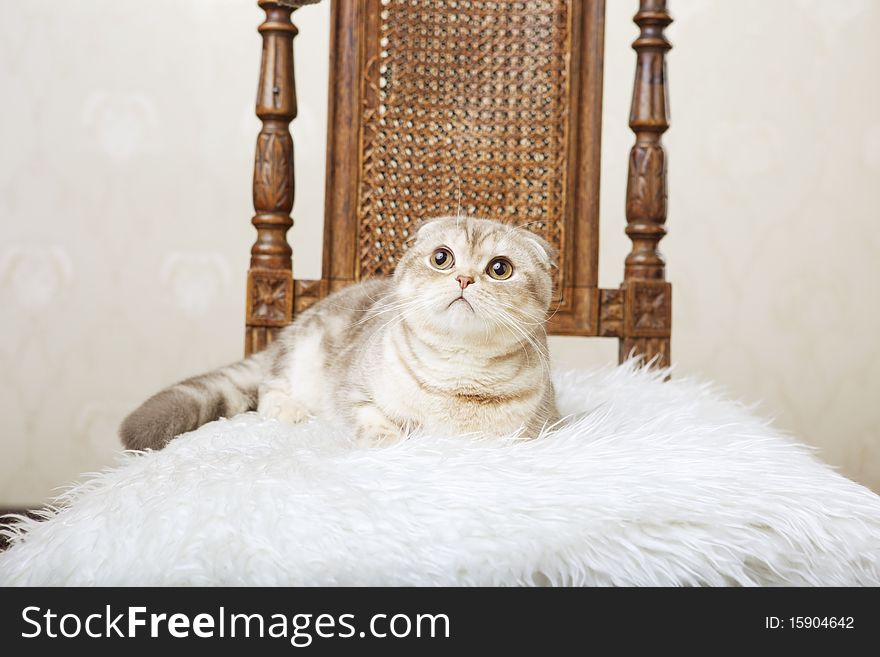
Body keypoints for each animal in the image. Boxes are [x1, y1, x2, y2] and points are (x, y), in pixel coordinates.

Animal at [120, 218, 560, 448]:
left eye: (500, 268)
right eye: (442, 258)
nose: (465, 279)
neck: (458, 374)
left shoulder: (535, 430)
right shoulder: (353, 391)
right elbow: (374, 420)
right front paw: (389, 442)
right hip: (301, 356)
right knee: (268, 388)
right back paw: (290, 409)